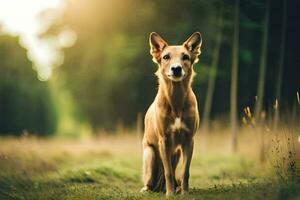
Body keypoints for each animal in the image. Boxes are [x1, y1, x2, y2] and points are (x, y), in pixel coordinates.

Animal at [140, 31, 202, 195]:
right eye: (166, 57)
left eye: (185, 57)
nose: (176, 69)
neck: (176, 100)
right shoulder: (164, 140)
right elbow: (167, 172)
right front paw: (170, 194)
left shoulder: (189, 140)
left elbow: (185, 172)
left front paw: (185, 193)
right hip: (150, 154)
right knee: (151, 181)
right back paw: (151, 189)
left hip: (177, 154)